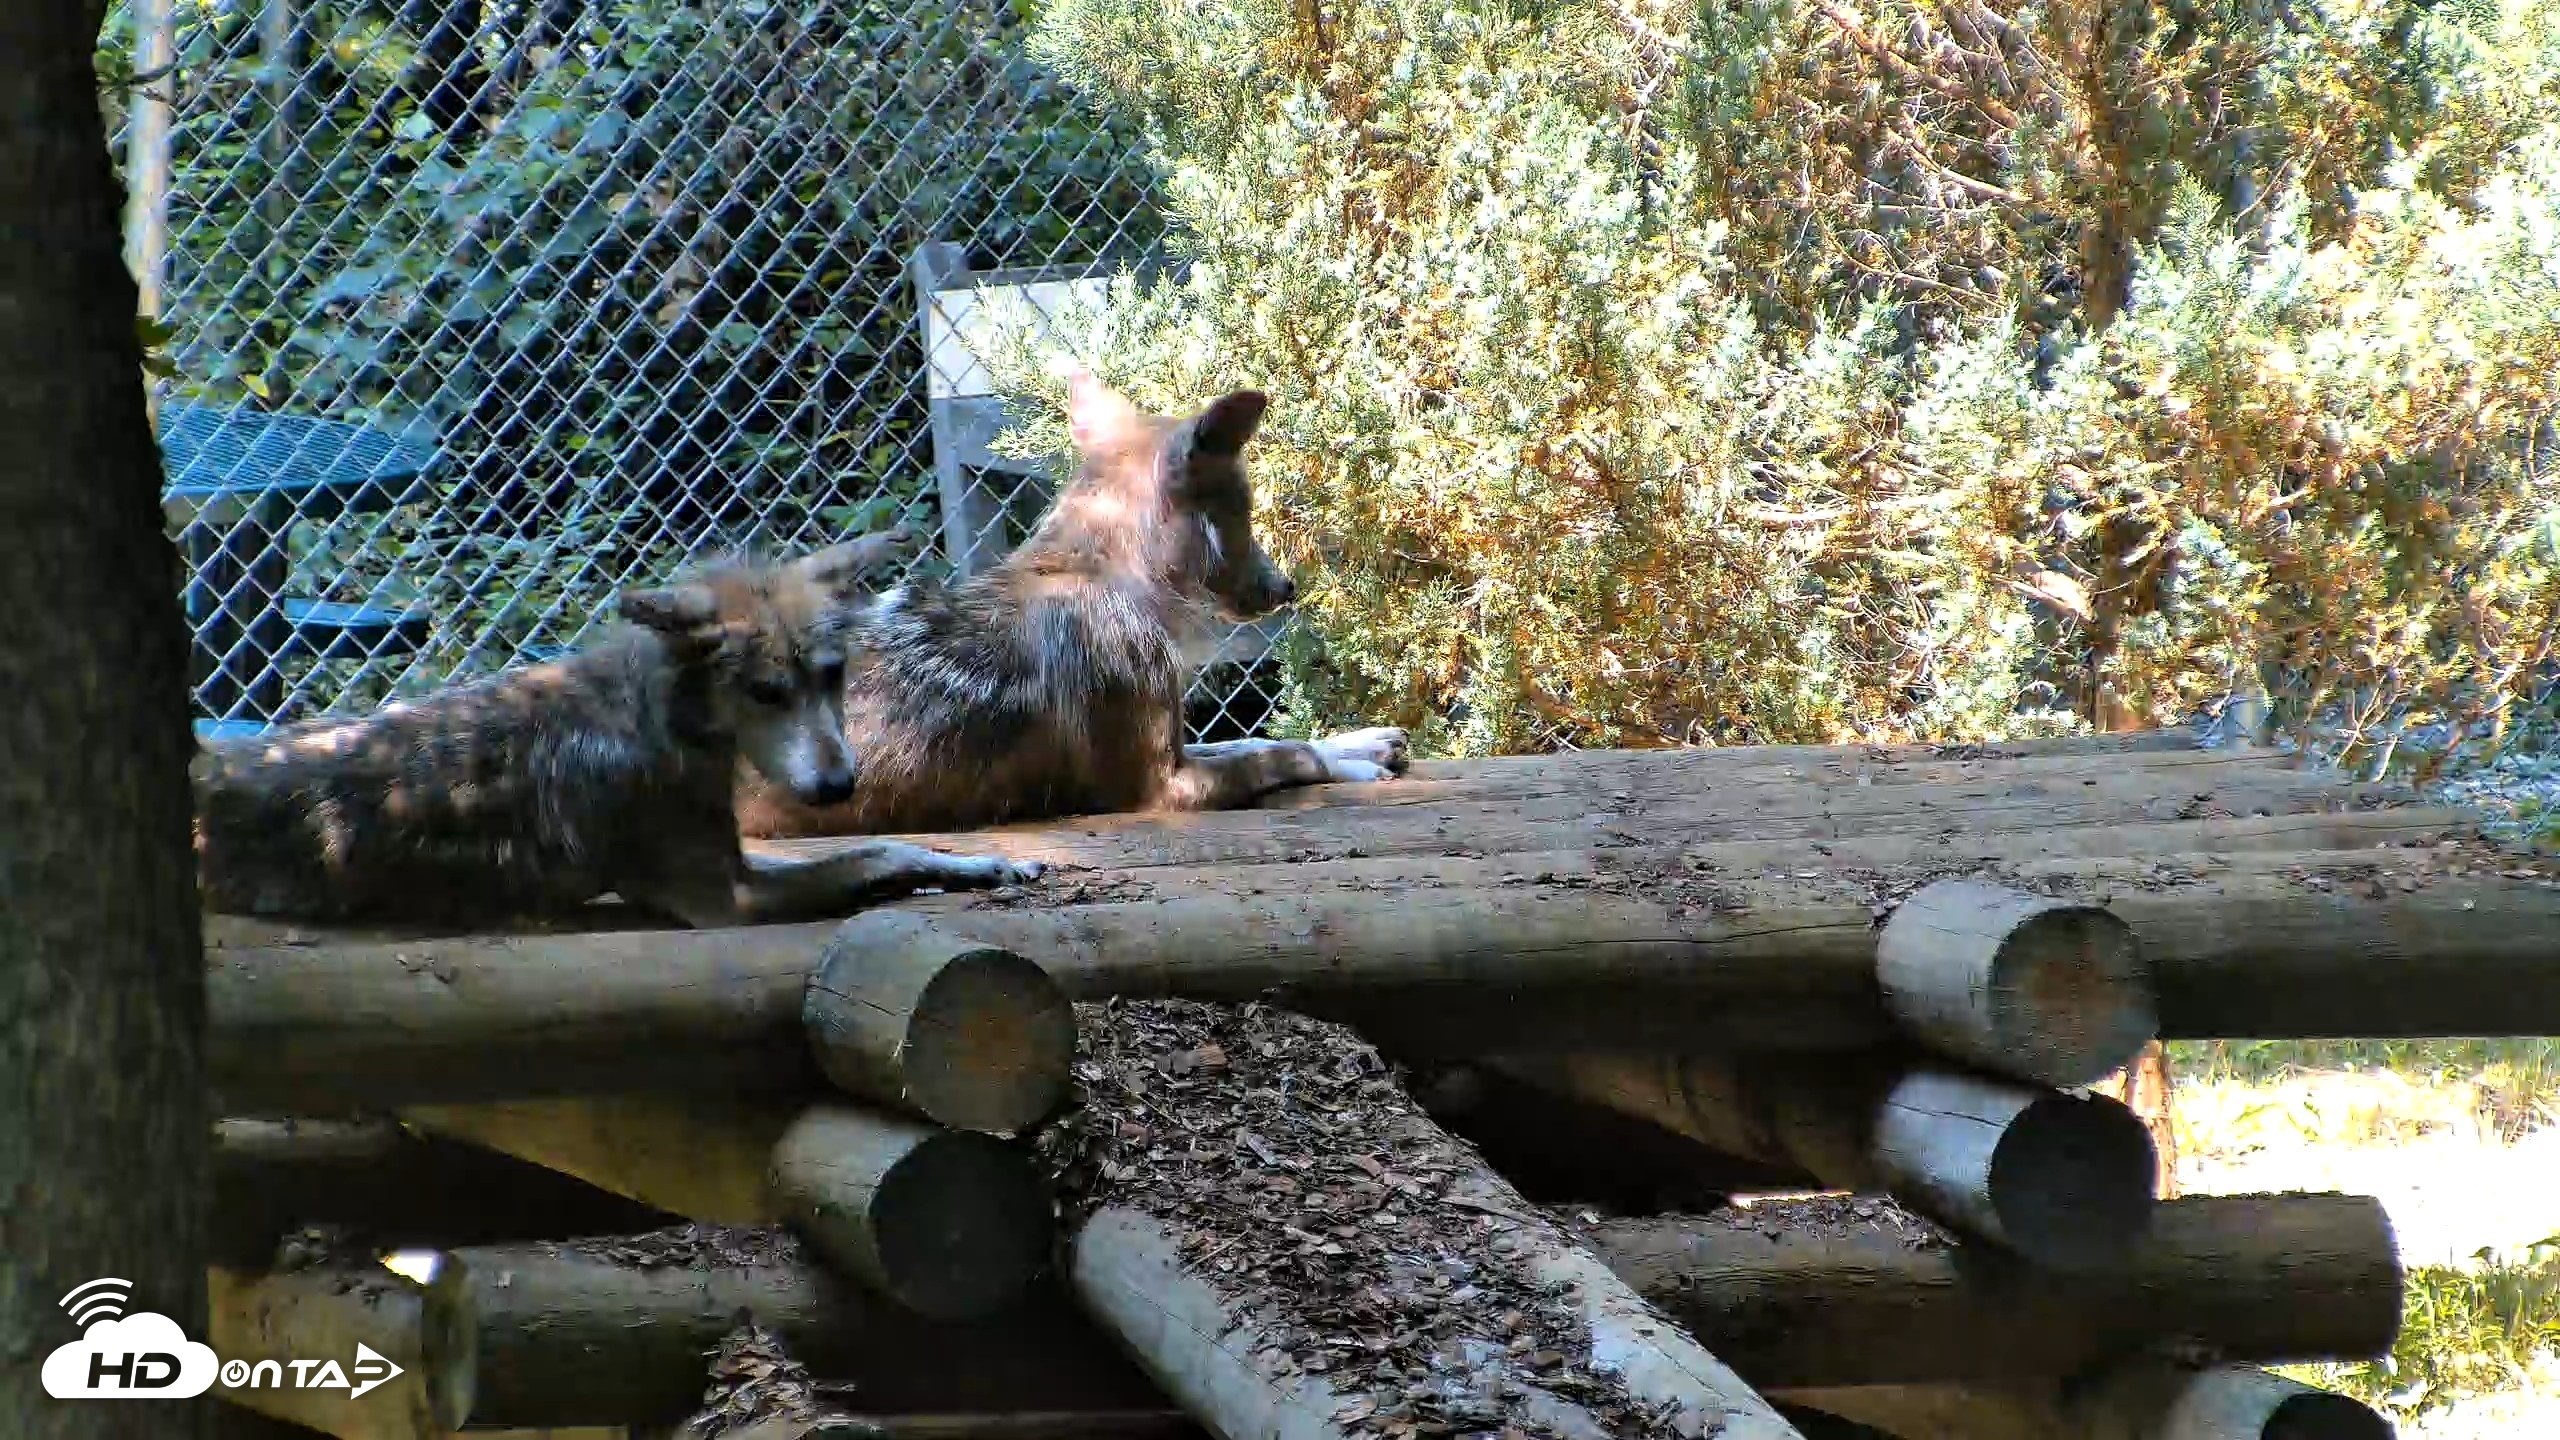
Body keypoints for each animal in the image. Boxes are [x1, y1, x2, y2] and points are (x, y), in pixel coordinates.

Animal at [192, 531, 1042, 929]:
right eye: (766, 693)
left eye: (830, 677)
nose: (839, 784)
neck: (659, 724)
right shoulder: (728, 900)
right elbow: (868, 859)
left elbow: (890, 849)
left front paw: (982, 865)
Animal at [735, 370, 1409, 840]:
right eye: (1242, 510)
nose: (1286, 588)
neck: (1105, 576)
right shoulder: (1162, 788)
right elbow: (1279, 751)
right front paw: (1353, 767)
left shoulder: (1174, 748)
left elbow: (1252, 743)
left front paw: (1361, 745)